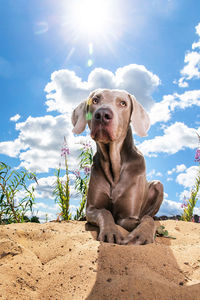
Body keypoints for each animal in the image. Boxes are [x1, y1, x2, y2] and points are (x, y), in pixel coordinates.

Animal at [71, 88, 163, 244]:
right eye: (95, 100)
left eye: (123, 103)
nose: (102, 115)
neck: (114, 167)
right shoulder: (91, 209)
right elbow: (105, 211)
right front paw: (111, 232)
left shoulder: (128, 216)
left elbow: (146, 219)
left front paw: (142, 235)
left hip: (158, 185)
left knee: (150, 214)